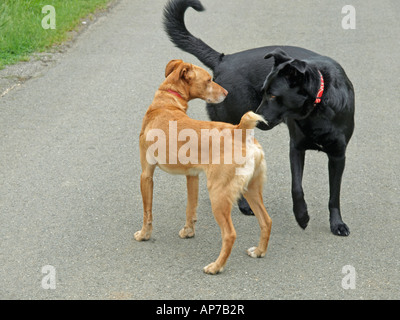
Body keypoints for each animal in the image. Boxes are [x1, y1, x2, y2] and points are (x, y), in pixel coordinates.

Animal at [137, 58, 272, 274]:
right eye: (209, 80)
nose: (226, 93)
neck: (166, 103)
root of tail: (240, 130)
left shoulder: (146, 174)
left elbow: (147, 212)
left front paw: (144, 235)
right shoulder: (192, 176)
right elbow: (190, 209)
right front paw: (188, 231)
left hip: (218, 194)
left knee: (230, 234)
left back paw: (216, 266)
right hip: (251, 189)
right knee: (266, 221)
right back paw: (259, 251)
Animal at [164, 0, 354, 235]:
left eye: (272, 95)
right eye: (264, 91)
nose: (258, 118)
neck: (318, 106)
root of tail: (223, 60)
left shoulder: (338, 155)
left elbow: (334, 195)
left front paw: (337, 224)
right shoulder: (296, 148)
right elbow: (296, 187)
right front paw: (302, 216)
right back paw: (243, 204)